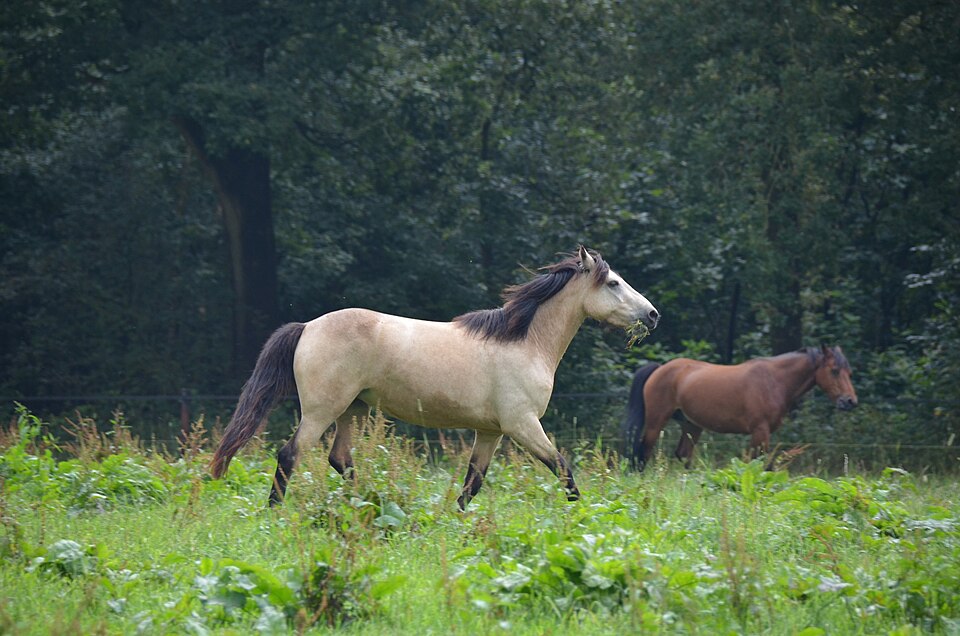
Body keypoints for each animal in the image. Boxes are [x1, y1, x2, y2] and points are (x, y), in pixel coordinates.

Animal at [211, 246, 660, 509]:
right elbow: (563, 468)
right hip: (323, 410)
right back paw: (275, 512)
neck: (526, 343)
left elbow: (473, 484)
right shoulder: (523, 425)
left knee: (339, 458)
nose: (653, 315)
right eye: (614, 283)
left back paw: (368, 504)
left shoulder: (491, 432)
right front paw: (581, 514)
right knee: (290, 454)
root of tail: (307, 327)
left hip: (352, 409)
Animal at [623, 345, 858, 470]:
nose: (850, 401)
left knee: (683, 455)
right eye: (834, 370)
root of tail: (660, 368)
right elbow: (759, 464)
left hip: (692, 425)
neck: (774, 381)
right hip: (656, 422)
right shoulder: (760, 431)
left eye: (849, 372)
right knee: (643, 452)